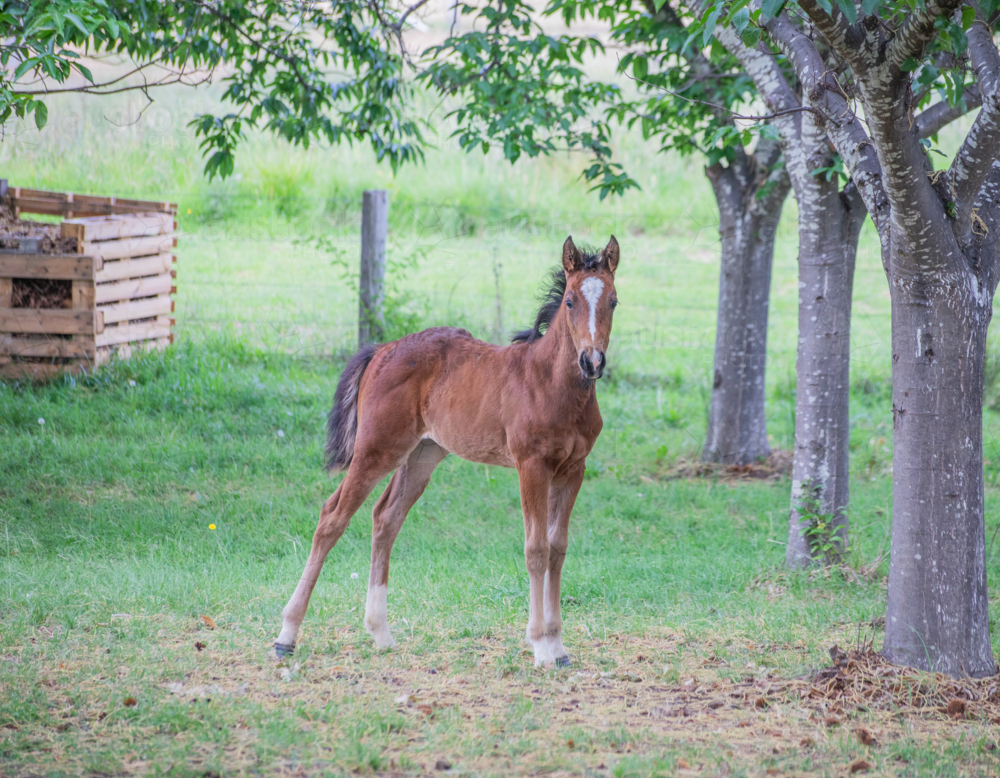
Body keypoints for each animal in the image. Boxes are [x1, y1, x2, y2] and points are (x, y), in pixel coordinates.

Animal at [275, 235, 620, 667]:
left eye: (613, 301)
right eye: (571, 301)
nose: (592, 361)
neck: (552, 384)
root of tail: (384, 349)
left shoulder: (574, 469)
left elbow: (558, 548)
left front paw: (558, 646)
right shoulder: (531, 466)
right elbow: (536, 549)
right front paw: (540, 644)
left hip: (421, 455)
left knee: (385, 517)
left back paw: (380, 632)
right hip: (376, 449)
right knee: (331, 517)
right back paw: (287, 635)